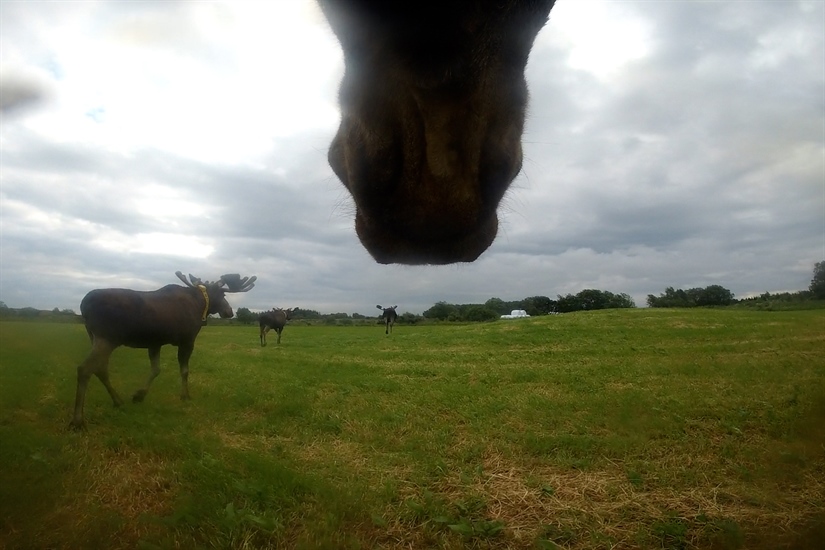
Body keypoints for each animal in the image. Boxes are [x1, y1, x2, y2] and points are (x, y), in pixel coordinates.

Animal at [71, 272, 258, 432]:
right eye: (223, 295)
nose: (229, 311)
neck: (200, 305)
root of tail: (83, 305)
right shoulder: (187, 340)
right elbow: (184, 370)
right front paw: (185, 395)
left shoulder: (155, 342)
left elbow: (156, 369)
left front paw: (139, 395)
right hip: (107, 338)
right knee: (85, 369)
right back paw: (78, 420)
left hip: (96, 338)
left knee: (100, 368)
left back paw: (117, 401)